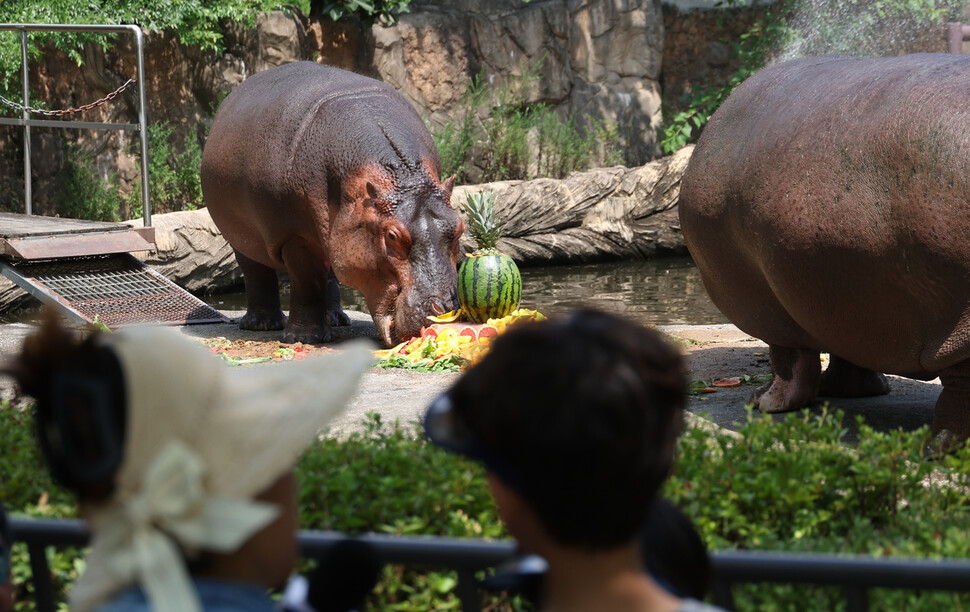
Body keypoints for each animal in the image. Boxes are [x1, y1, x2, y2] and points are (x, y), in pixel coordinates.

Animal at [200, 65, 462, 350]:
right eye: (392, 235)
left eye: (459, 227)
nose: (446, 311)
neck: (402, 175)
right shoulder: (295, 236)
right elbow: (307, 282)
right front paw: (302, 338)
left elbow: (323, 278)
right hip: (242, 237)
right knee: (256, 271)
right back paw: (263, 324)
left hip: (330, 235)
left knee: (330, 274)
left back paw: (336, 320)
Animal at [676, 53, 968, 450]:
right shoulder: (839, 295)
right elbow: (846, 350)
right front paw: (850, 391)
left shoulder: (776, 308)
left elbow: (788, 361)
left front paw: (763, 403)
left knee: (958, 387)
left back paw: (938, 448)